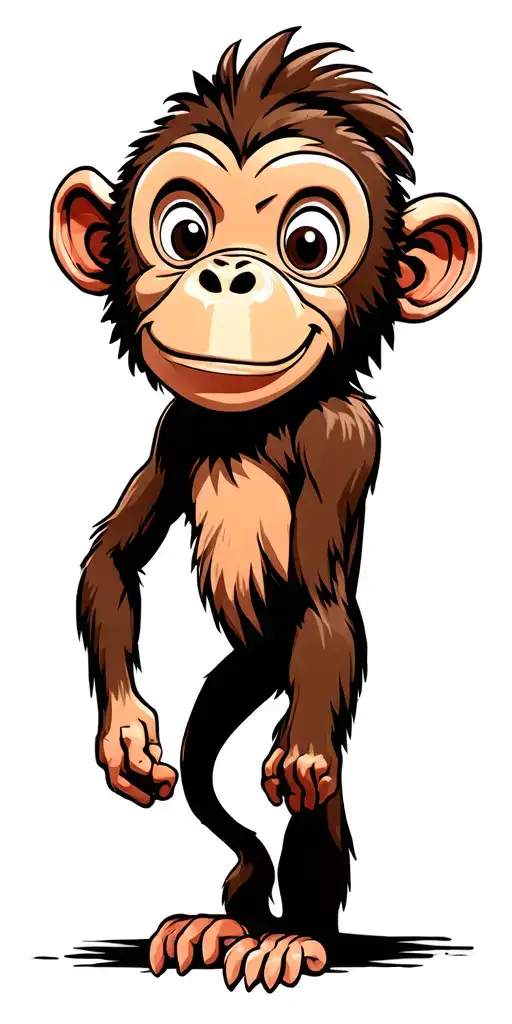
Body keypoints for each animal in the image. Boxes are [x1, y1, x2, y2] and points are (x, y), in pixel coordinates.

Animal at [50, 29, 480, 992]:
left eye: (308, 241)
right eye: (184, 230)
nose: (228, 273)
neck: (258, 422)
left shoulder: (341, 437)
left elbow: (323, 601)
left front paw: (307, 756)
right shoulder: (178, 429)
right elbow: (114, 558)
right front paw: (125, 734)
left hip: (278, 664)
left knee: (304, 784)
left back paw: (296, 934)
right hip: (243, 670)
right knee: (202, 772)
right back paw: (227, 918)